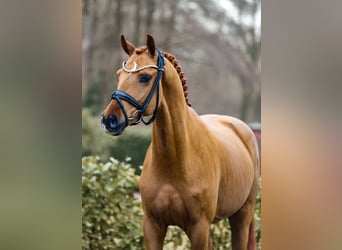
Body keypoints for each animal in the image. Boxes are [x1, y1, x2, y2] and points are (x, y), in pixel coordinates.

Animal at [101, 34, 260, 249]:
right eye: (118, 75)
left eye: (145, 77)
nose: (109, 119)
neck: (175, 161)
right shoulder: (152, 226)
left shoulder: (199, 227)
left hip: (241, 218)